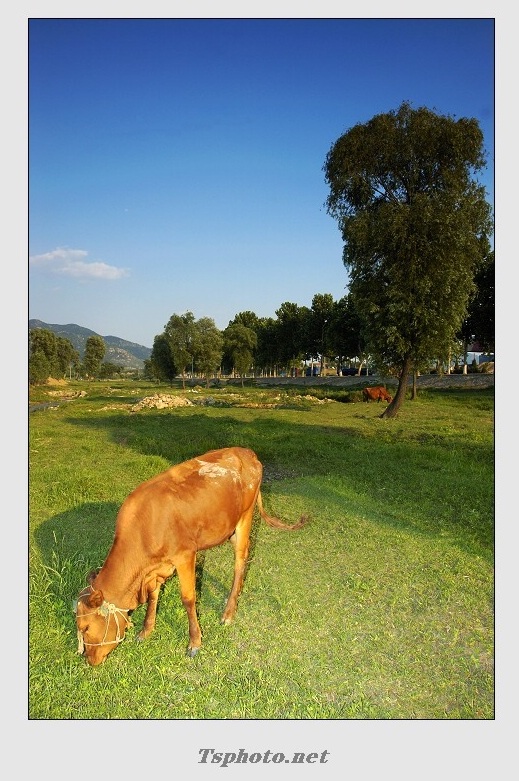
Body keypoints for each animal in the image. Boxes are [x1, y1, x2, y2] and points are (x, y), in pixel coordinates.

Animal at [75, 444, 306, 664]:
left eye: (85, 628)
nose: (89, 660)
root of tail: (246, 452)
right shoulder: (157, 567)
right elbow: (153, 595)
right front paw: (146, 630)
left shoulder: (185, 555)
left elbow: (188, 598)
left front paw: (195, 642)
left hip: (245, 517)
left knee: (240, 561)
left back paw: (228, 612)